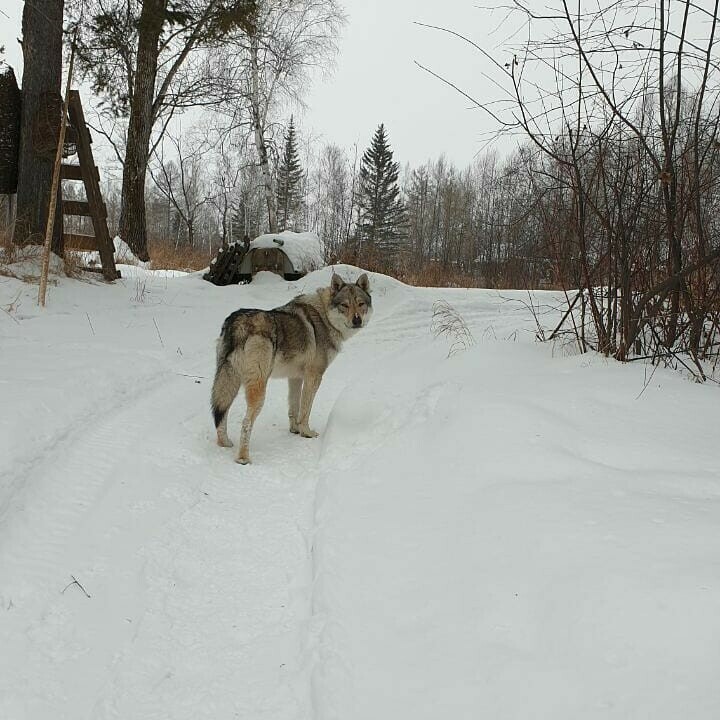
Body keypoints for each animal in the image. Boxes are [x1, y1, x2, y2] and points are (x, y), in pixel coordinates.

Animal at [211, 272, 374, 464]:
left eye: (361, 304)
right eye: (345, 305)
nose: (357, 320)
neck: (325, 317)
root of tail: (237, 323)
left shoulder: (295, 377)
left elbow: (294, 407)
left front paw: (295, 430)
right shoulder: (314, 376)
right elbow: (305, 410)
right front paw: (306, 433)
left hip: (229, 382)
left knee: (221, 413)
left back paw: (224, 443)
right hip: (257, 389)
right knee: (245, 423)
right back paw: (243, 458)